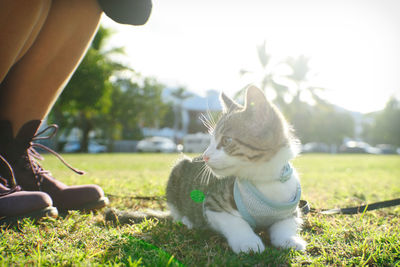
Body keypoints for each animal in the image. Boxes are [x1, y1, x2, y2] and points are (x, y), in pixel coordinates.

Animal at [166, 86, 306, 255]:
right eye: (211, 141)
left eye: (227, 140)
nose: (205, 156)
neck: (264, 179)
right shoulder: (212, 203)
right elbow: (234, 222)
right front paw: (247, 241)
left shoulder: (290, 209)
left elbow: (287, 224)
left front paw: (289, 239)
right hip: (177, 171)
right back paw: (187, 220)